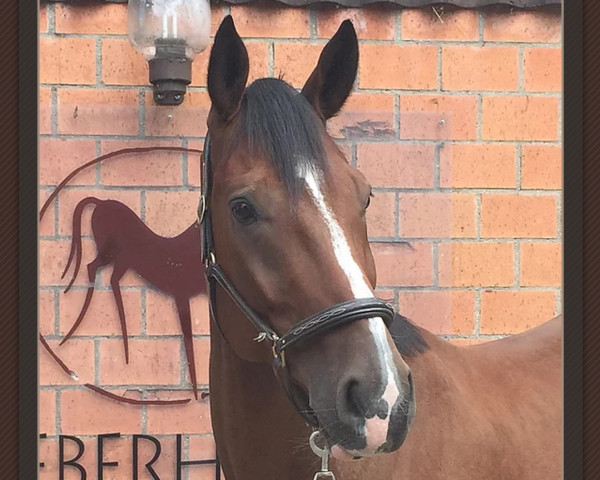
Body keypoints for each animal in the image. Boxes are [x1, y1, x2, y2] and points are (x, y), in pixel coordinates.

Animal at [59, 197, 207, 400]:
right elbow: (189, 343)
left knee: (109, 278)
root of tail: (101, 201)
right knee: (93, 268)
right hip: (112, 250)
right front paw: (196, 393)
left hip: (122, 257)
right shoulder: (181, 295)